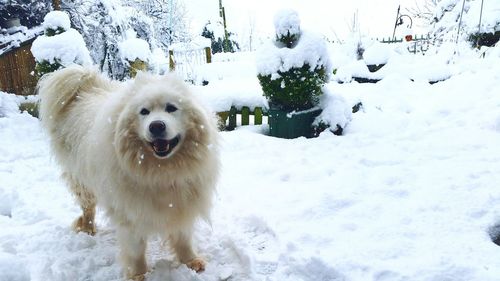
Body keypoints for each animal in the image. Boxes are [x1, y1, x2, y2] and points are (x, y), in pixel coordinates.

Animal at [37, 65, 221, 278]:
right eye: (144, 112)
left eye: (171, 108)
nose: (156, 125)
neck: (162, 173)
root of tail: (85, 90)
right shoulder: (130, 213)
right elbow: (136, 250)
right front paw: (138, 275)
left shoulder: (182, 204)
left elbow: (183, 237)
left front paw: (190, 262)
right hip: (81, 179)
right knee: (88, 207)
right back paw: (88, 229)